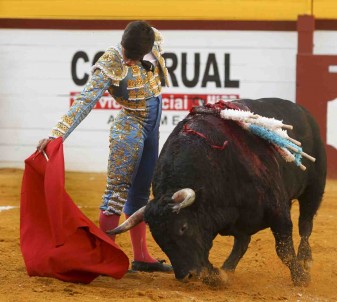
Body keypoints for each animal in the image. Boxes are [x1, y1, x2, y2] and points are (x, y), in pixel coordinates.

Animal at [108, 98, 326, 286]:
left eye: (183, 227)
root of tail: (302, 111)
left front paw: (301, 278)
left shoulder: (278, 210)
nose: (187, 275)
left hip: (314, 188)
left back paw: (306, 260)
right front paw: (218, 275)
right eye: (157, 237)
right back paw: (227, 269)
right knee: (243, 242)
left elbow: (284, 250)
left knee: (305, 225)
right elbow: (233, 246)